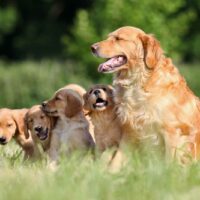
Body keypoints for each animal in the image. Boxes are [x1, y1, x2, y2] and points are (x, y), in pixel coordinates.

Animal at [91, 25, 200, 162]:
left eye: (118, 38)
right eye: (108, 37)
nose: (92, 48)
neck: (137, 82)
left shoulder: (173, 132)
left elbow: (170, 163)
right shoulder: (129, 132)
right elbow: (116, 161)